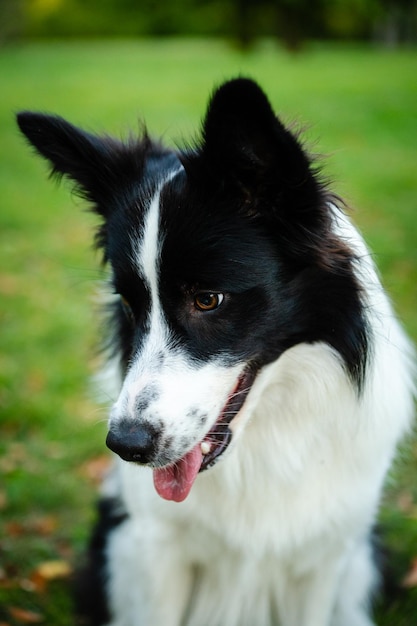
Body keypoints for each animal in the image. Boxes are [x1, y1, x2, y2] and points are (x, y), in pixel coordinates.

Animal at [17, 78, 412, 624]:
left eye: (208, 299)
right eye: (129, 303)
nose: (126, 446)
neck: (263, 440)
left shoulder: (325, 559)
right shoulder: (150, 546)